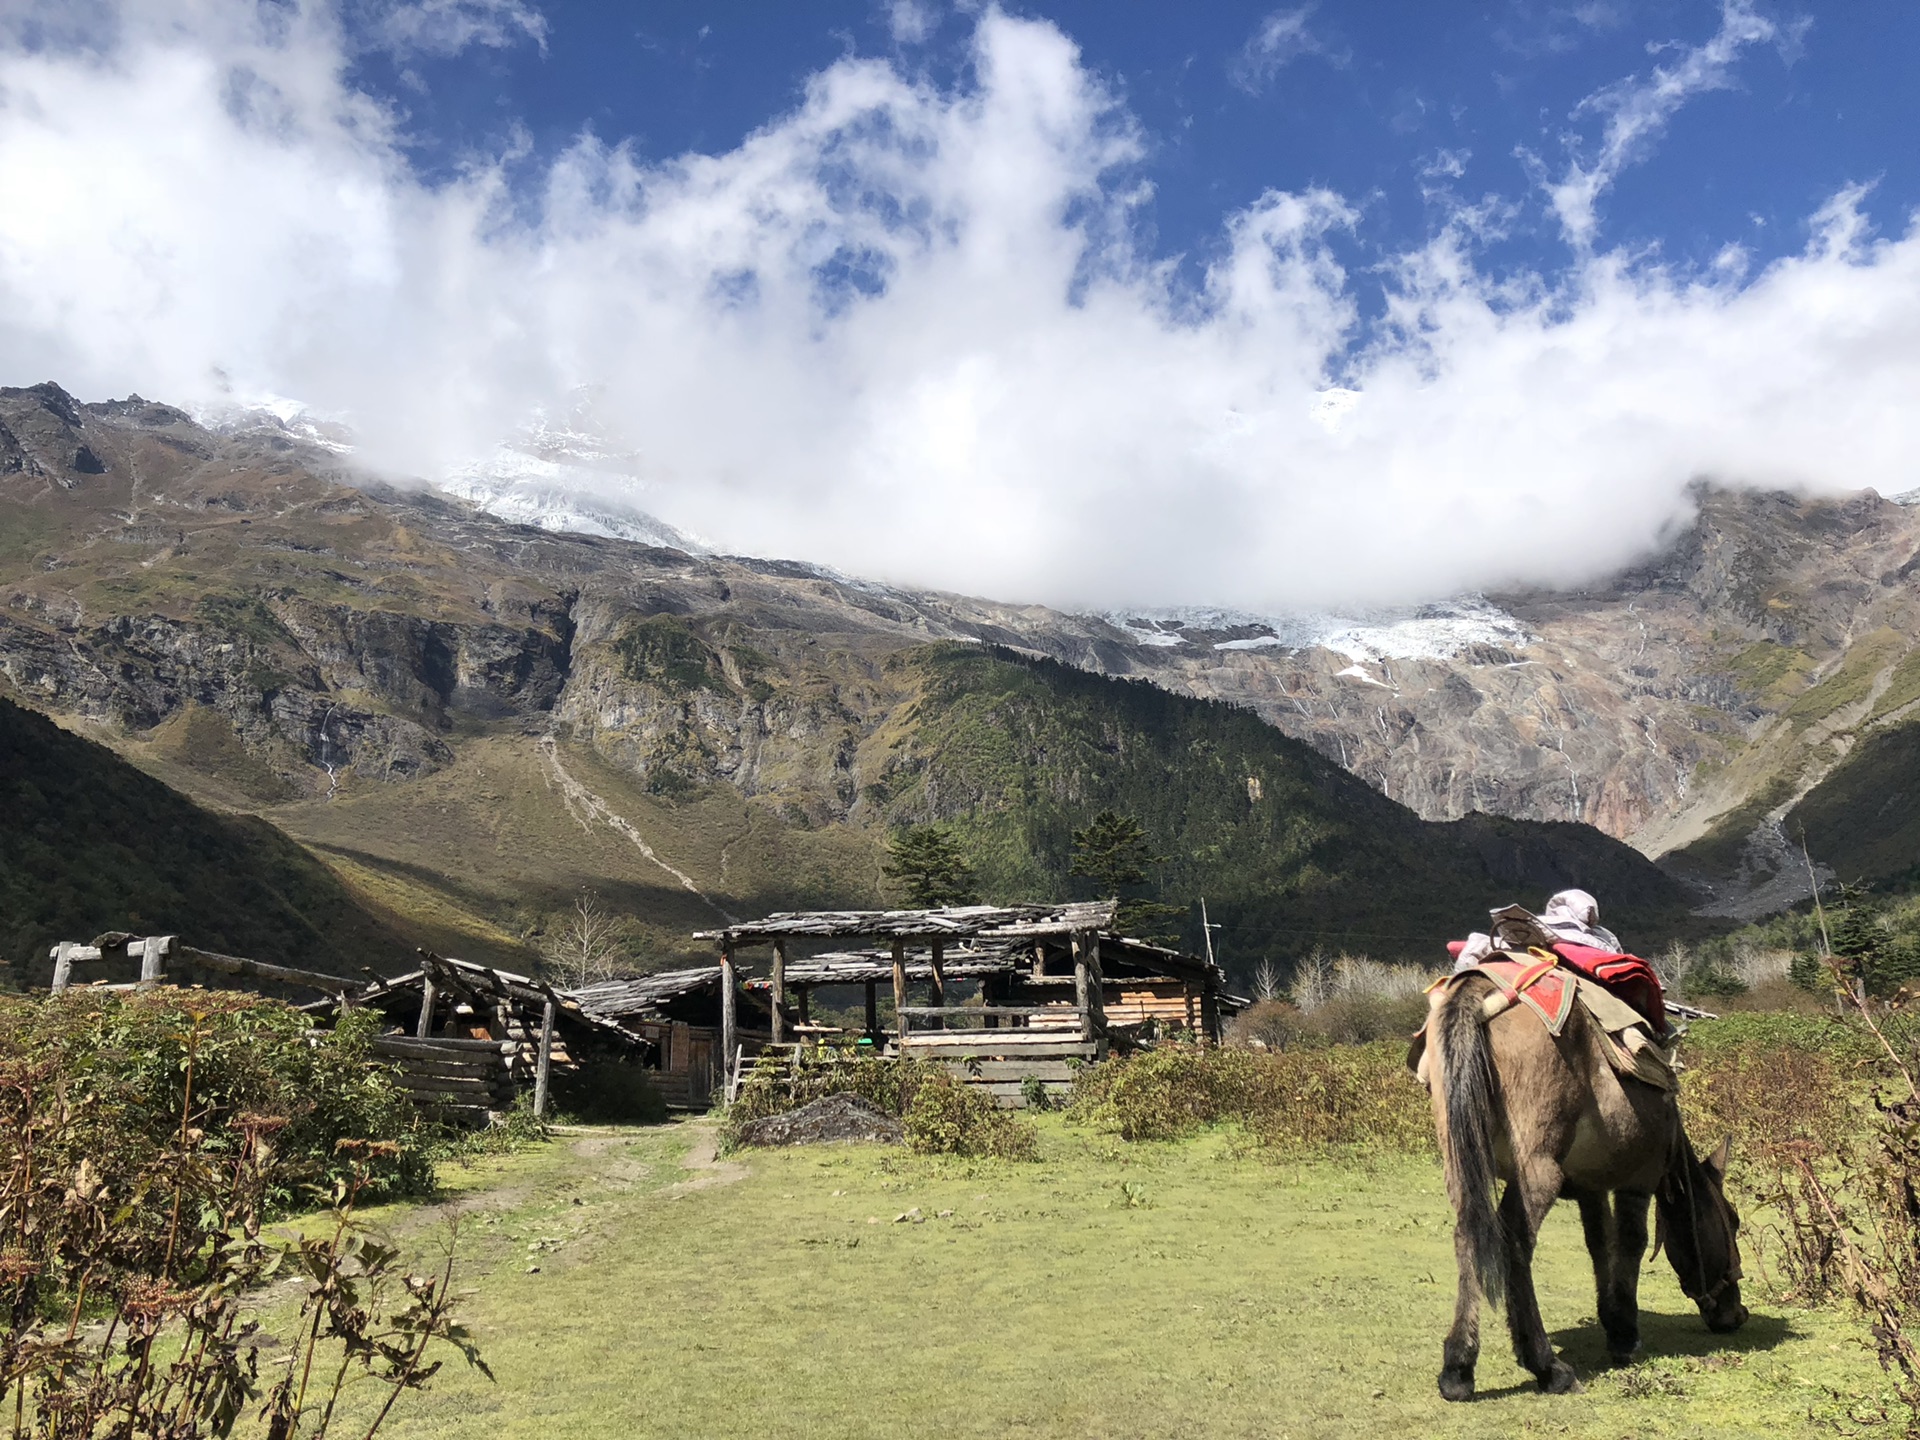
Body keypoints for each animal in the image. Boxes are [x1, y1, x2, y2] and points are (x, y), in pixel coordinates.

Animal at [1428, 971, 1758, 1397]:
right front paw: (1624, 1334)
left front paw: (1612, 1318)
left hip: (1461, 1163)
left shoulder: (1591, 1186)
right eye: (1732, 1221)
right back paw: (1546, 1365)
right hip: (1537, 1171)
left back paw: (1458, 1367)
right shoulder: (1638, 1179)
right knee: (1514, 1242)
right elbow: (1632, 1243)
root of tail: (1479, 991)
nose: (1738, 1313)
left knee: (1469, 1235)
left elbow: (1600, 1245)